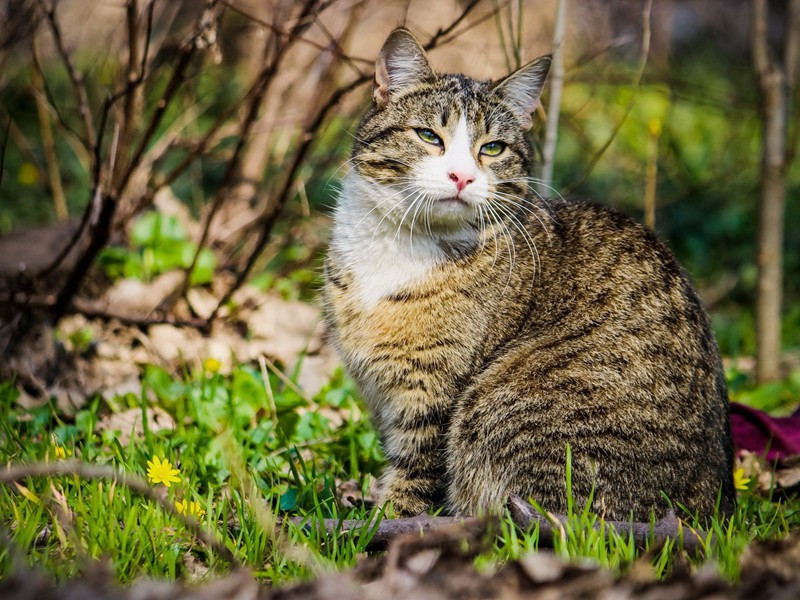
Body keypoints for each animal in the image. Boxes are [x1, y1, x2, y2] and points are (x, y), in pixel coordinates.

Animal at [322, 27, 736, 520]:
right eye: (427, 136)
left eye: (492, 148)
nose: (461, 176)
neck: (402, 242)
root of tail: (712, 510)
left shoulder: (433, 396)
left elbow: (414, 481)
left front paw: (384, 523)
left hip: (502, 414)